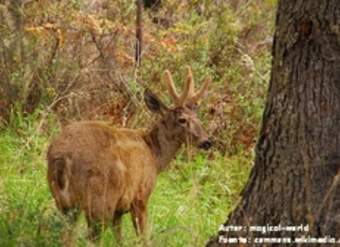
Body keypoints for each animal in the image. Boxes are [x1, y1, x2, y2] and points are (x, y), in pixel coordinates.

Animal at [47, 66, 212, 242]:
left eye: (198, 118)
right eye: (182, 119)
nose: (207, 141)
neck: (154, 155)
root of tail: (62, 158)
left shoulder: (119, 210)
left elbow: (119, 238)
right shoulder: (140, 196)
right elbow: (144, 238)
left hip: (63, 201)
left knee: (66, 236)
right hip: (100, 200)